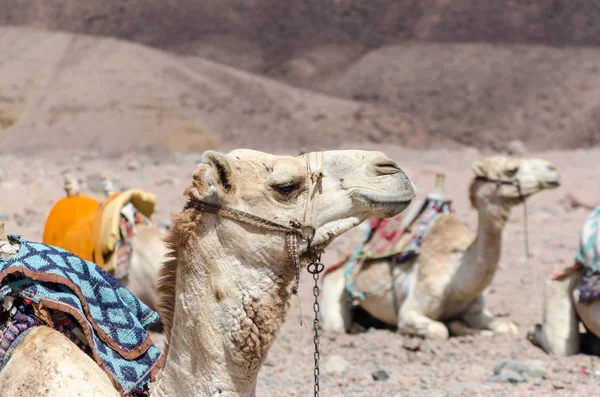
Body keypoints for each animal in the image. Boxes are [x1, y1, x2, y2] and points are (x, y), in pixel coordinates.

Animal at [322, 155, 560, 338]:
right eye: (512, 170)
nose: (553, 171)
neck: (457, 281)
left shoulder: (478, 309)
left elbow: (506, 327)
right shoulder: (411, 312)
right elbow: (440, 330)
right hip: (335, 285)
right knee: (336, 324)